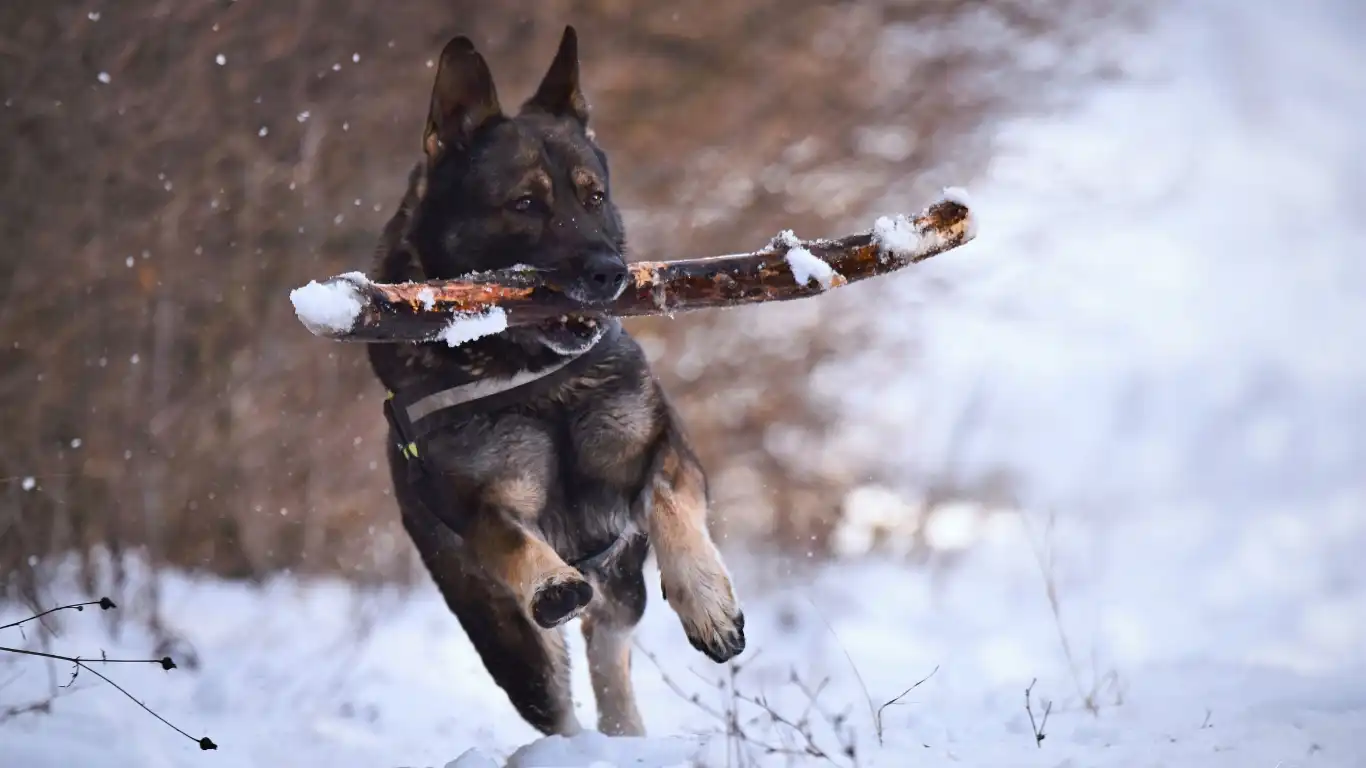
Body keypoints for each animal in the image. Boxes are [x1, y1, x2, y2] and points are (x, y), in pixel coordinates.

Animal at [363, 25, 748, 737]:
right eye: (525, 204)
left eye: (593, 196)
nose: (610, 274)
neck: (536, 380)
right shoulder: (476, 504)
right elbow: (512, 537)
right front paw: (551, 580)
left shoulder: (668, 448)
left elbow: (668, 502)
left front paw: (707, 602)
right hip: (511, 646)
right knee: (561, 699)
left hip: (621, 590)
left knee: (611, 654)